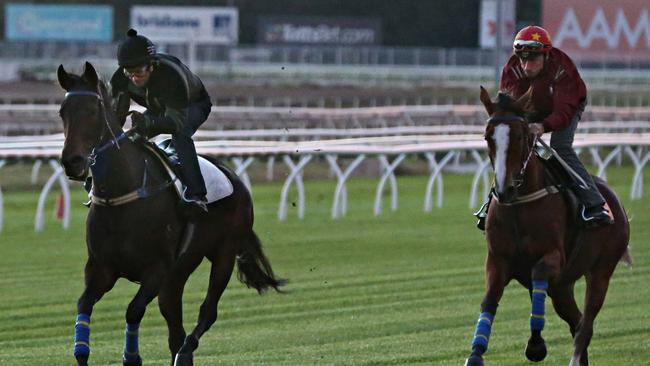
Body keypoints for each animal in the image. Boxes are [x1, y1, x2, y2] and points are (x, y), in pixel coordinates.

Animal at [57, 63, 284, 366]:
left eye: (93, 111)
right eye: (63, 111)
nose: (73, 162)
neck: (123, 195)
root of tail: (235, 180)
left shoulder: (157, 270)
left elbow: (133, 310)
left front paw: (132, 356)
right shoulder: (101, 268)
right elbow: (83, 305)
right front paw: (82, 351)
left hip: (222, 254)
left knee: (207, 312)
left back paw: (186, 350)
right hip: (178, 275)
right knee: (175, 325)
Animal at [464, 88, 632, 366]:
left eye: (520, 136)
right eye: (488, 137)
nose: (504, 189)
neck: (519, 204)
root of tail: (614, 201)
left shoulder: (554, 257)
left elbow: (539, 274)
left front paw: (536, 344)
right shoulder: (497, 260)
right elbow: (489, 300)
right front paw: (475, 353)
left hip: (601, 271)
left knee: (585, 326)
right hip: (562, 287)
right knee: (577, 322)